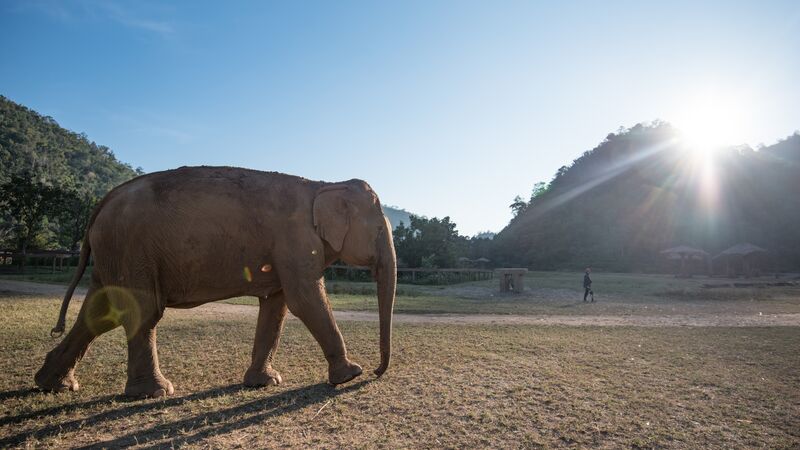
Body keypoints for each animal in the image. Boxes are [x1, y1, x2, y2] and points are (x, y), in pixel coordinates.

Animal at [34, 166, 396, 398]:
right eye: (380, 230)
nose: (377, 372)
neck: (323, 184)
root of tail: (103, 202)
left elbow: (277, 306)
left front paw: (264, 383)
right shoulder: (294, 239)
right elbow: (304, 298)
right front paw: (350, 375)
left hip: (113, 253)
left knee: (100, 314)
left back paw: (54, 385)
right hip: (130, 248)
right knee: (143, 311)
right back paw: (154, 392)